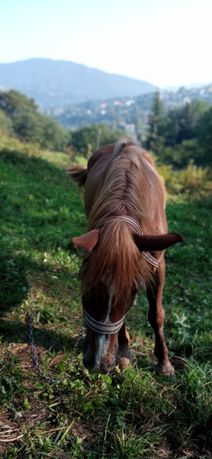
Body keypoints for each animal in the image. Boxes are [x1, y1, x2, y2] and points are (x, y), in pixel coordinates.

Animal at [69, 142, 182, 376]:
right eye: (86, 287)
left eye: (130, 293)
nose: (97, 362)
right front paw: (123, 350)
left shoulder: (158, 265)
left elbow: (156, 315)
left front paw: (164, 362)